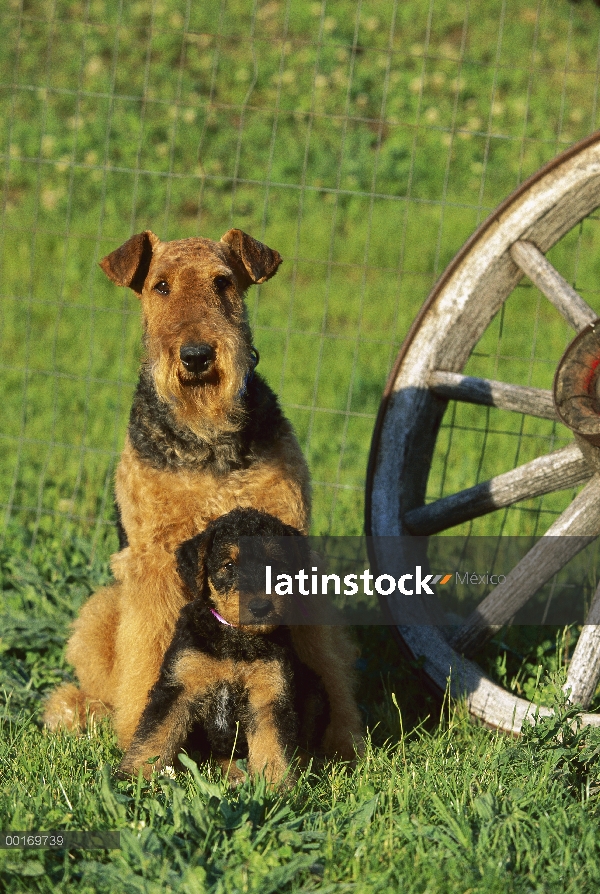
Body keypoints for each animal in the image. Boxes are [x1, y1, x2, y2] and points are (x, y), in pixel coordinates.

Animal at [44, 228, 364, 760]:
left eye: (223, 282)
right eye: (161, 285)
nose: (196, 356)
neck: (207, 436)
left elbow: (320, 657)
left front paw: (343, 740)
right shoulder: (154, 558)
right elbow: (151, 654)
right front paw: (141, 737)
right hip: (101, 608)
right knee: (99, 682)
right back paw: (76, 711)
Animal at [120, 508, 346, 788]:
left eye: (276, 565)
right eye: (229, 565)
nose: (260, 607)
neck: (237, 640)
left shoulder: (269, 694)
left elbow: (273, 746)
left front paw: (276, 787)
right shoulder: (178, 685)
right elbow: (155, 735)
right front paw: (133, 776)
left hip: (314, 689)